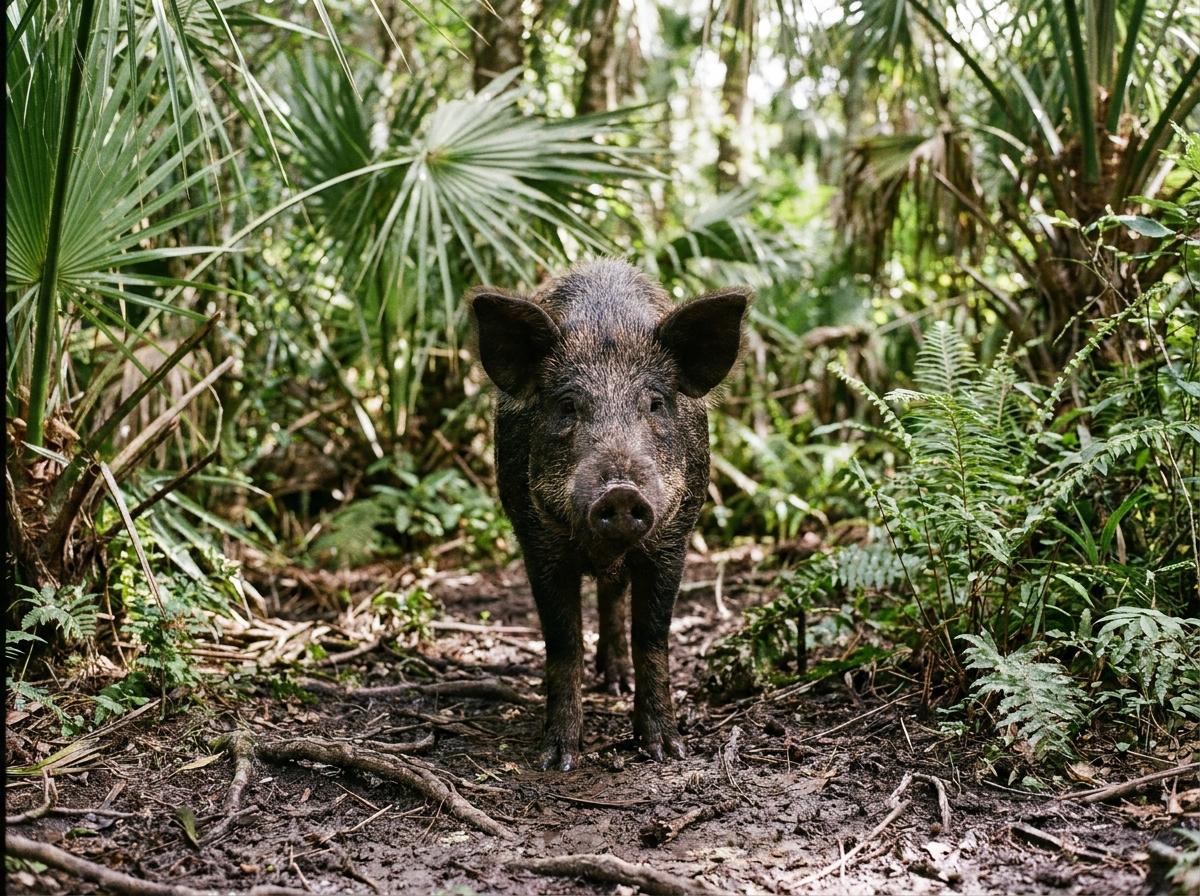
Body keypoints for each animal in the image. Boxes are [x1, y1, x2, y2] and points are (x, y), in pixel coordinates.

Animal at [468, 260, 750, 771]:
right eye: (567, 405)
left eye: (655, 404)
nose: (620, 492)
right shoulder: (538, 545)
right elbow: (563, 644)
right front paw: (558, 759)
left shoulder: (672, 542)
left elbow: (652, 637)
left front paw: (666, 751)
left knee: (614, 597)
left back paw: (617, 682)